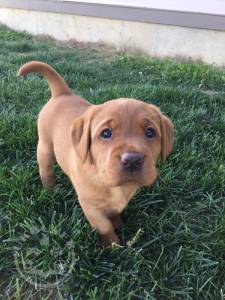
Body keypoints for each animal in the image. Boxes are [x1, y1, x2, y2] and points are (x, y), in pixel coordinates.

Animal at [18, 61, 174, 246]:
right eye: (106, 133)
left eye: (150, 132)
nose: (132, 160)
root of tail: (62, 93)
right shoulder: (90, 207)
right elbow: (104, 226)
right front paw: (113, 245)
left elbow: (113, 213)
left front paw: (118, 222)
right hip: (45, 147)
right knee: (46, 169)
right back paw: (50, 190)